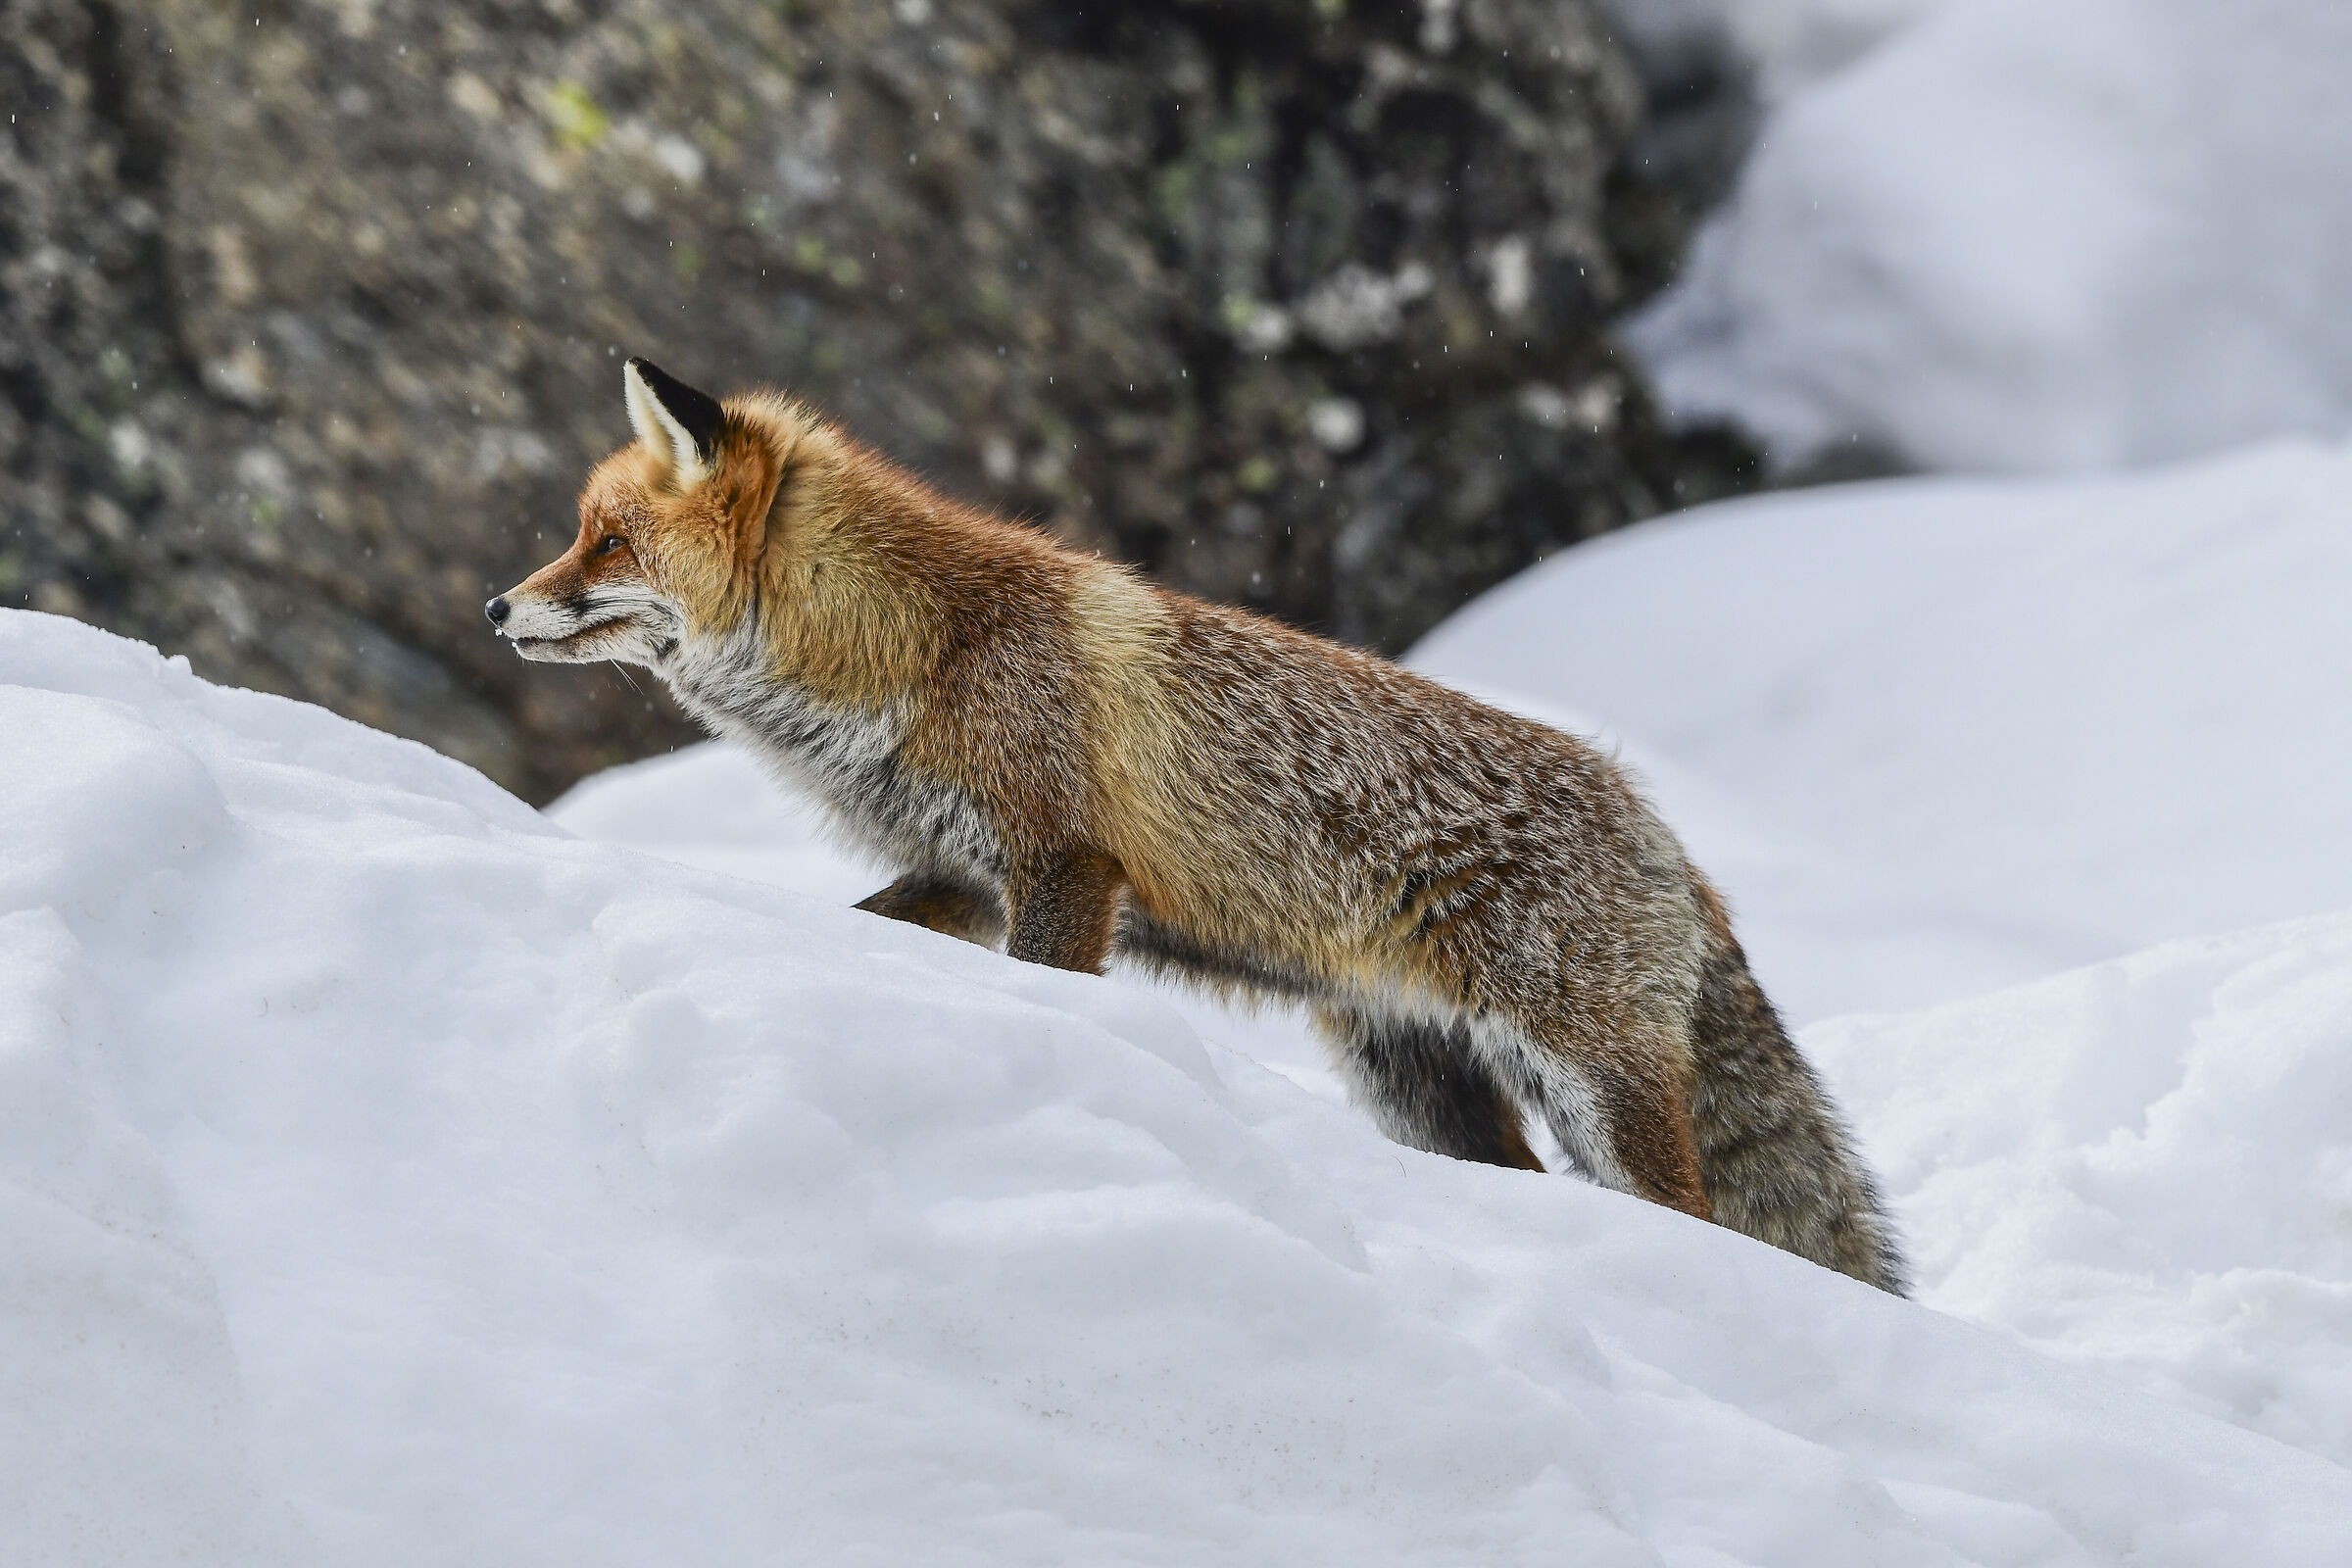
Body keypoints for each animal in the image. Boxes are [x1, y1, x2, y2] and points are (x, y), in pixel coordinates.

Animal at [488, 358, 1908, 1293]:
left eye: (603, 542)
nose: (499, 607)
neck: (916, 653)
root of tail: (1670, 839)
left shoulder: (1063, 866)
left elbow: (1051, 986)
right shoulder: (956, 875)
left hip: (1592, 1085)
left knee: (1700, 1220)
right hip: (1414, 1083)